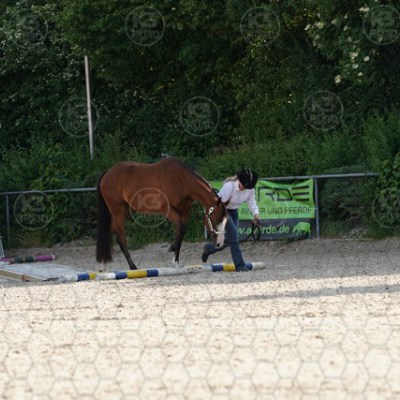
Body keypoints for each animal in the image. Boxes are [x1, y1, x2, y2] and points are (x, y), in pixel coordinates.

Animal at [96, 156, 228, 270]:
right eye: (217, 219)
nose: (219, 244)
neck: (181, 180)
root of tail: (107, 173)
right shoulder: (167, 210)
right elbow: (182, 229)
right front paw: (171, 248)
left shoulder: (184, 212)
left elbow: (180, 232)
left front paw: (176, 262)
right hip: (118, 211)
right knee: (121, 239)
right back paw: (132, 266)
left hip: (125, 211)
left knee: (110, 234)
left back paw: (103, 264)